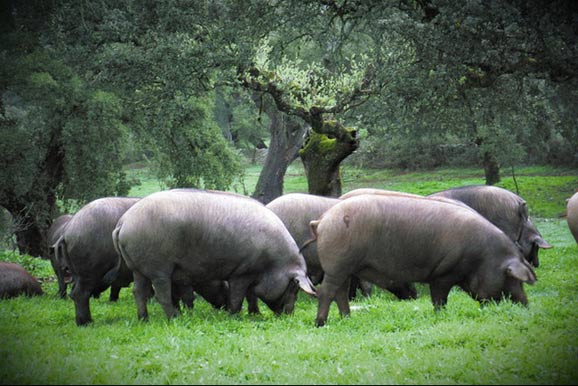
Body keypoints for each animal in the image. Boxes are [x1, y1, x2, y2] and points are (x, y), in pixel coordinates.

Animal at [112, 188, 316, 322]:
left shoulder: (252, 273)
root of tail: (123, 222)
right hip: (158, 268)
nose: (289, 315)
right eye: (294, 287)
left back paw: (144, 319)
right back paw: (175, 318)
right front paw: (234, 315)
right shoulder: (242, 272)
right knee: (162, 293)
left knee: (138, 291)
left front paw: (255, 314)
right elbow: (238, 296)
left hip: (137, 268)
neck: (274, 262)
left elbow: (252, 295)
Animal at [310, 195, 536, 328]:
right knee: (326, 292)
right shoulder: (443, 274)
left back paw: (346, 318)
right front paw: (440, 316)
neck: (481, 258)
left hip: (345, 268)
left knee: (340, 293)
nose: (526, 305)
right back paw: (320, 323)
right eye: (510, 276)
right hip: (337, 265)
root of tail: (322, 220)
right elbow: (439, 300)